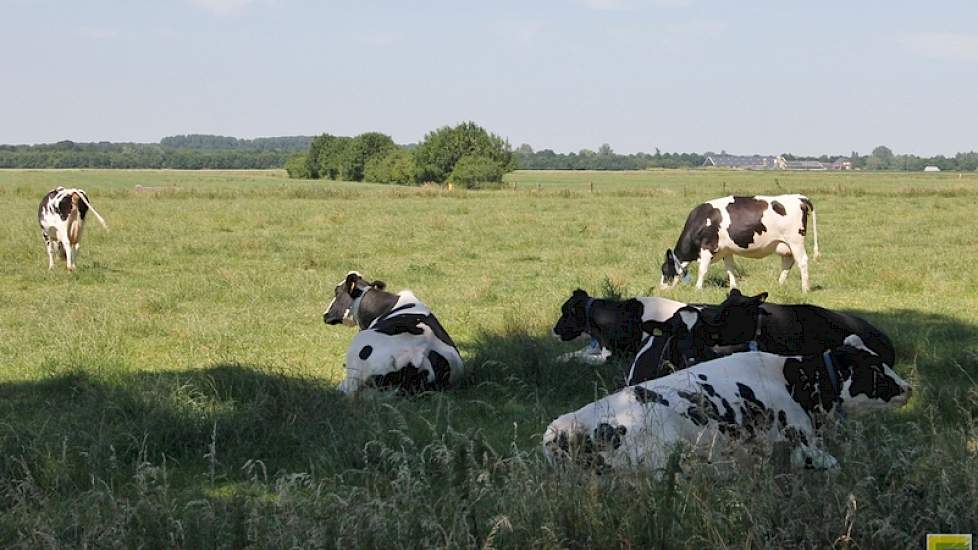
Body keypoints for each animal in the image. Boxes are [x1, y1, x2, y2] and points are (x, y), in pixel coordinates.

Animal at [548, 288, 688, 366]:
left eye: (565, 313)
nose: (554, 330)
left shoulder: (617, 355)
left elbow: (583, 357)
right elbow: (578, 352)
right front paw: (558, 359)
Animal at [660, 197, 820, 296]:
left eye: (664, 270)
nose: (660, 288)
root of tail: (799, 198)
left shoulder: (707, 246)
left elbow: (702, 270)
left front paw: (698, 289)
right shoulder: (726, 250)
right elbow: (730, 269)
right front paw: (733, 287)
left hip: (795, 242)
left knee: (802, 262)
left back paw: (805, 289)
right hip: (785, 245)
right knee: (788, 263)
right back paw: (779, 284)